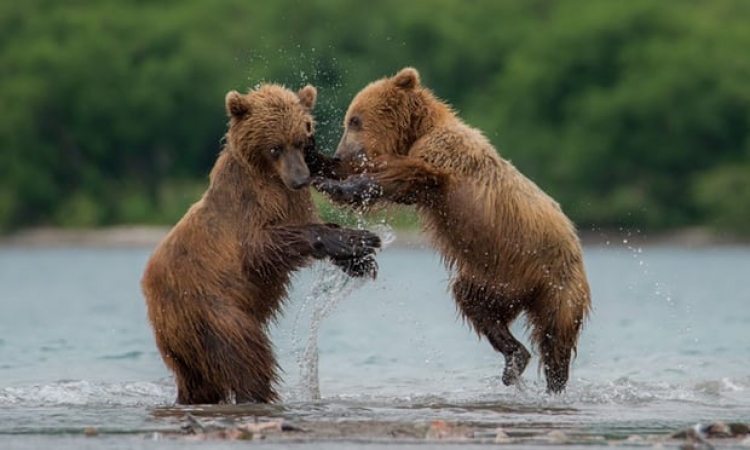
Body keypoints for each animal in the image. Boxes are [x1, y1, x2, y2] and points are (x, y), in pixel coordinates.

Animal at [142, 83, 382, 404]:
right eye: (274, 147)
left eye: (301, 140)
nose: (301, 178)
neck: (270, 176)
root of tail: (151, 295)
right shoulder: (251, 203)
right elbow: (263, 246)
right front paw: (359, 239)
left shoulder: (293, 200)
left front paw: (360, 260)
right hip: (212, 310)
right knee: (246, 358)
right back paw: (257, 393)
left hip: (184, 344)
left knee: (199, 382)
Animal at [312, 67, 592, 394]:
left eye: (354, 120)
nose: (341, 152)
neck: (418, 131)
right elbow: (376, 172)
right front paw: (316, 162)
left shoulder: (442, 159)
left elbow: (399, 177)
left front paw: (337, 185)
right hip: (491, 279)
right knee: (474, 304)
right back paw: (514, 358)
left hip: (557, 283)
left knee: (556, 334)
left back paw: (553, 381)